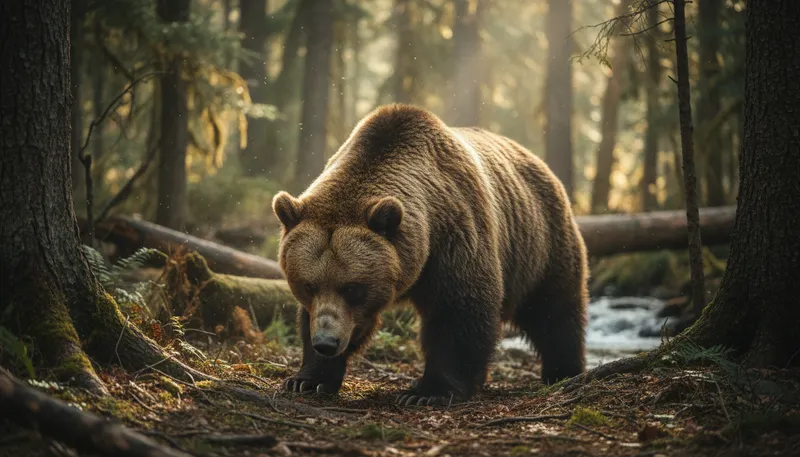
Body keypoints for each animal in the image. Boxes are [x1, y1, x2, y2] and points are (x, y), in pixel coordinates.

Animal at [272, 104, 588, 407]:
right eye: (308, 285)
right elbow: (316, 319)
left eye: (352, 287)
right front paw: (307, 379)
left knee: (554, 310)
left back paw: (563, 371)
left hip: (541, 243)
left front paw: (429, 392)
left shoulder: (455, 237)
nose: (326, 342)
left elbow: (458, 313)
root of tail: (539, 162)